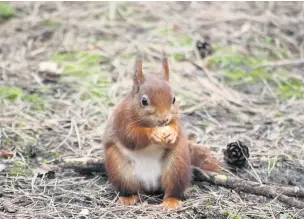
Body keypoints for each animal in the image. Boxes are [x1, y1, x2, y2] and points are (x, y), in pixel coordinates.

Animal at [102, 51, 221, 209]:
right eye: (144, 101)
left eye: (174, 99)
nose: (164, 119)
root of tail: (150, 183)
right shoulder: (121, 120)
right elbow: (130, 136)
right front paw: (153, 134)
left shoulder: (176, 119)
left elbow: (177, 131)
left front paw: (172, 133)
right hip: (119, 167)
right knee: (132, 189)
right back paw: (129, 198)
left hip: (177, 165)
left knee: (171, 189)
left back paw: (171, 202)